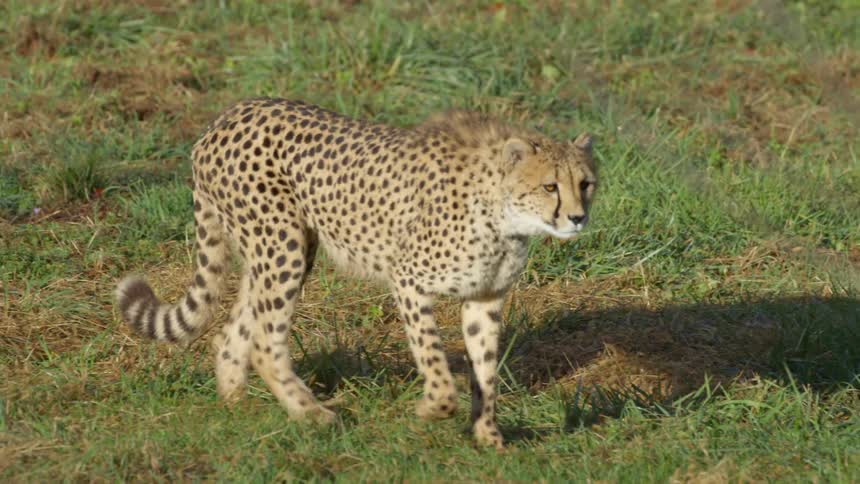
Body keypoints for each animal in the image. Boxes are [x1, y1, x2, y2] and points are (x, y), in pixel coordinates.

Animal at [115, 98, 597, 448]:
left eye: (586, 184)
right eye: (549, 186)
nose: (577, 218)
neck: (504, 215)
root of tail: (224, 118)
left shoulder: (484, 298)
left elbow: (486, 370)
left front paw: (489, 437)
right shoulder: (409, 280)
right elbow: (435, 362)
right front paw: (432, 409)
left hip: (278, 250)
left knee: (235, 331)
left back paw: (240, 410)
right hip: (283, 247)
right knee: (266, 344)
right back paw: (312, 414)